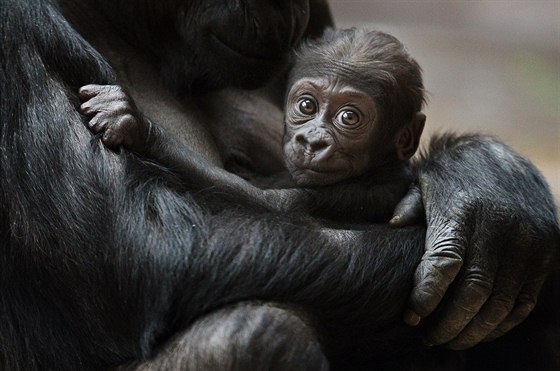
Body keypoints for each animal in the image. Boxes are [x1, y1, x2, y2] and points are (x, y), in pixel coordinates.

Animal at [80, 29, 424, 222]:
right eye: (307, 106)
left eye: (348, 118)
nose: (312, 141)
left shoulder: (364, 193)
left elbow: (269, 205)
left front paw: (137, 126)